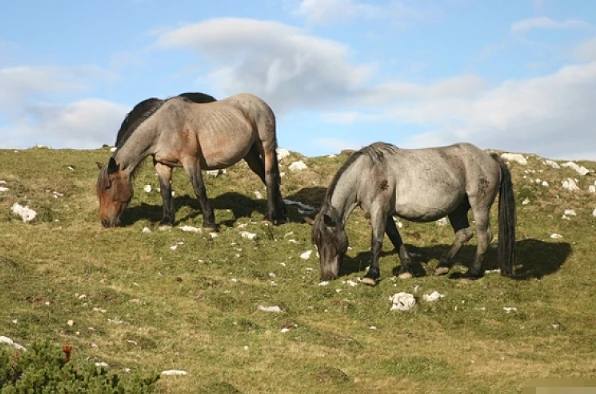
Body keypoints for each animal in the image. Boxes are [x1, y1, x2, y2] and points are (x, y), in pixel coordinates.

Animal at [95, 92, 286, 231]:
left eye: (108, 187)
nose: (104, 222)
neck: (163, 128)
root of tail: (262, 104)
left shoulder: (190, 160)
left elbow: (199, 189)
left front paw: (209, 223)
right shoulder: (162, 165)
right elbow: (165, 191)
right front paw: (166, 222)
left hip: (266, 147)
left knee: (270, 177)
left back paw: (271, 217)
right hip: (250, 155)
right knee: (265, 177)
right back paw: (281, 214)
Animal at [310, 142, 516, 286]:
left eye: (328, 240)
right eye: (317, 243)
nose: (326, 276)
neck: (367, 173)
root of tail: (489, 157)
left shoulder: (379, 210)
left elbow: (377, 241)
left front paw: (371, 275)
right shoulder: (387, 214)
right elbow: (396, 239)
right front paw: (406, 269)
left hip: (479, 206)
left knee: (483, 236)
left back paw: (470, 273)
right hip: (457, 209)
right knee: (464, 234)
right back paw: (442, 266)